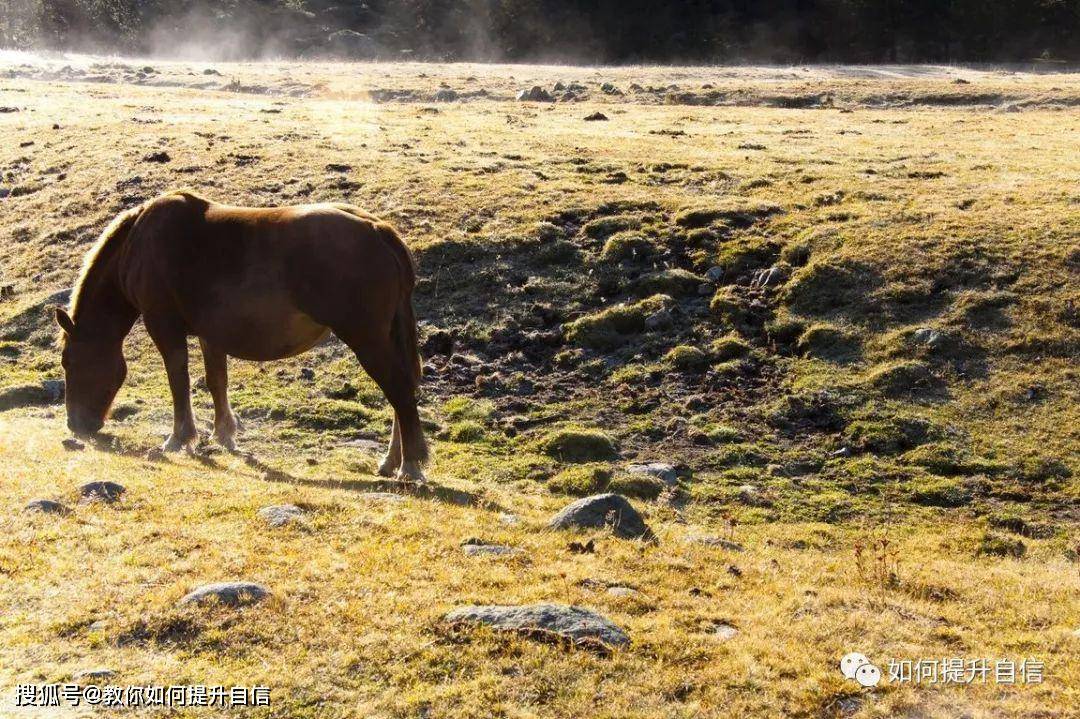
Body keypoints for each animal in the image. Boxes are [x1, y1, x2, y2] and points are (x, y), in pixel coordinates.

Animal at [53, 190, 425, 479]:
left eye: (68, 361)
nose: (76, 425)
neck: (139, 244)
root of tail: (378, 230)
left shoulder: (164, 326)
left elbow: (178, 380)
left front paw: (179, 438)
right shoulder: (210, 334)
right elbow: (216, 381)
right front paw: (223, 434)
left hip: (367, 339)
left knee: (399, 391)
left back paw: (411, 465)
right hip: (385, 338)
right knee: (400, 393)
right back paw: (392, 461)